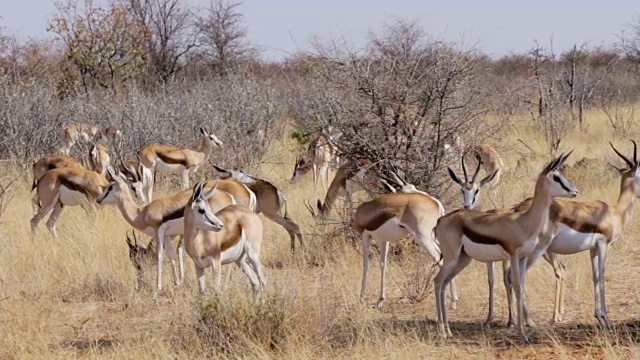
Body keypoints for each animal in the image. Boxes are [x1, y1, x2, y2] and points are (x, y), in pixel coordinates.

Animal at [356, 172, 460, 310]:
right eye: (408, 189)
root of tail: (437, 204)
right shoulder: (384, 240)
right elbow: (383, 264)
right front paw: (380, 300)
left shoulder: (365, 235)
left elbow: (365, 265)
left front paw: (361, 299)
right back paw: (453, 300)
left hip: (423, 238)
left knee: (441, 260)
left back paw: (451, 302)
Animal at [432, 152, 576, 344]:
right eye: (556, 177)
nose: (575, 191)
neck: (523, 222)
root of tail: (441, 220)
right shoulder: (513, 257)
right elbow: (516, 286)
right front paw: (522, 332)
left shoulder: (522, 258)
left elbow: (520, 286)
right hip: (451, 258)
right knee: (438, 281)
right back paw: (442, 331)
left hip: (462, 260)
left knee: (444, 283)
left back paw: (448, 331)